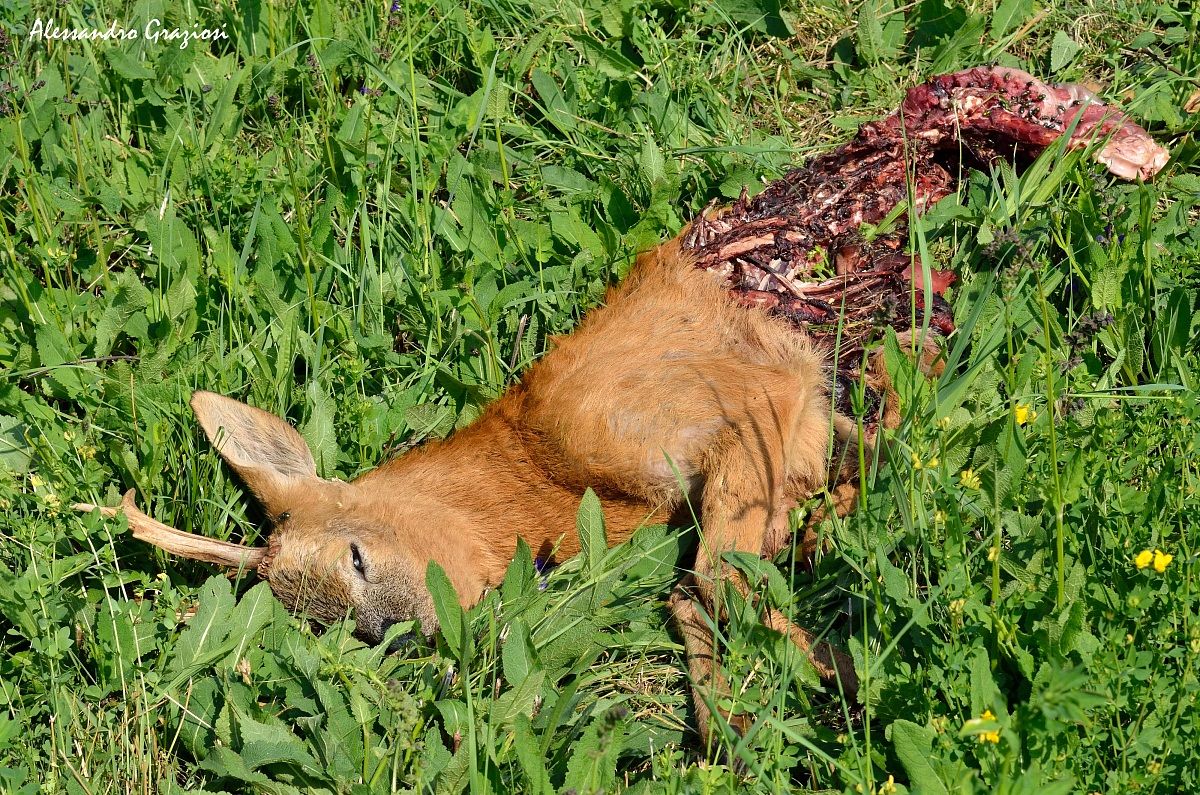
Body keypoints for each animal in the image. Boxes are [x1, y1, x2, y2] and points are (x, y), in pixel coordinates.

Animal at [77, 67, 1167, 746]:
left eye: (353, 555)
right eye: (327, 630)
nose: (400, 635)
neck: (550, 477)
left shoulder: (741, 410)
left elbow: (724, 573)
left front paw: (842, 676)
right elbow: (716, 583)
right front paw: (759, 709)